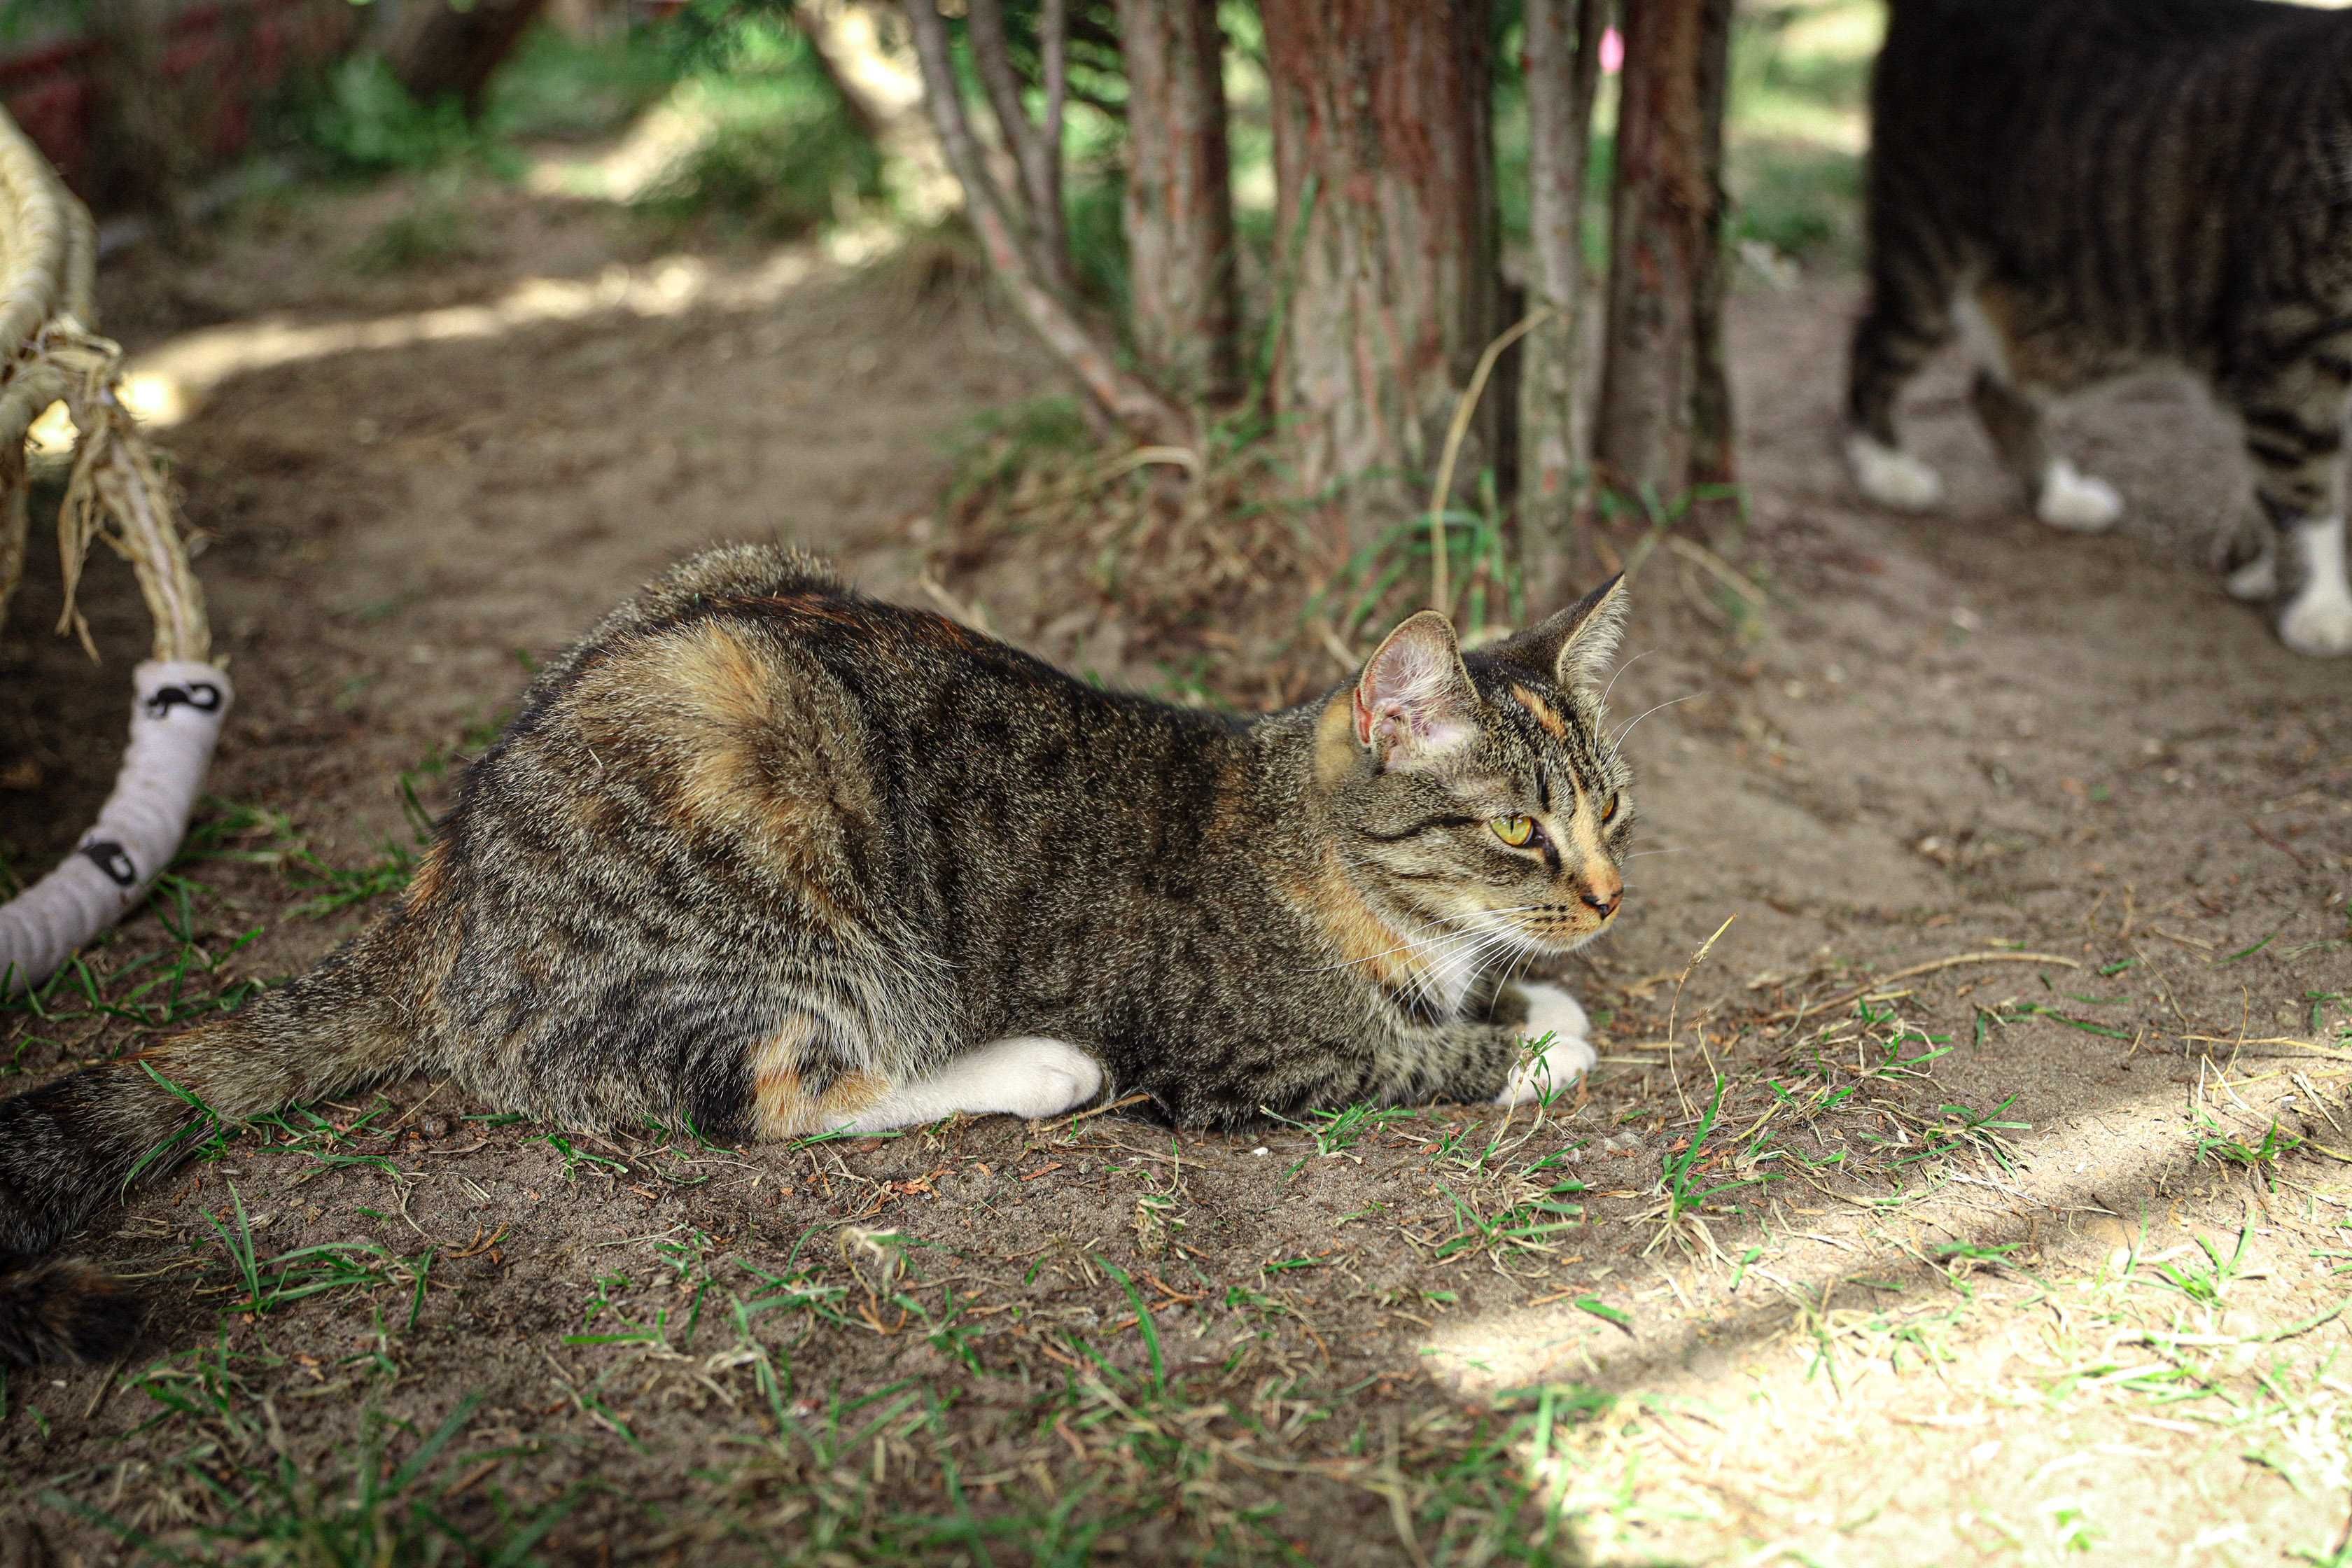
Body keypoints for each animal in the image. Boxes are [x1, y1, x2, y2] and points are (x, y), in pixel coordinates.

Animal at [0, 545, 1628, 1363]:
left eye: (1608, 807)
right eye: (1518, 833)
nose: (1612, 898)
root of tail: (451, 891)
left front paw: (1531, 993)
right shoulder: (1247, 1057)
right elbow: (1417, 1053)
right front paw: (1539, 1031)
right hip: (775, 832)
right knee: (776, 1091)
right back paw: (1027, 1065)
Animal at [1844, 0, 2352, 658]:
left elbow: (2269, 476)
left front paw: (2254, 563)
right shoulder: (2291, 345)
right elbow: (2302, 484)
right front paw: (2318, 605)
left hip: (2094, 310)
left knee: (1994, 392)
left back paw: (2060, 497)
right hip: (1928, 241)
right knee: (1874, 345)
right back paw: (1887, 468)